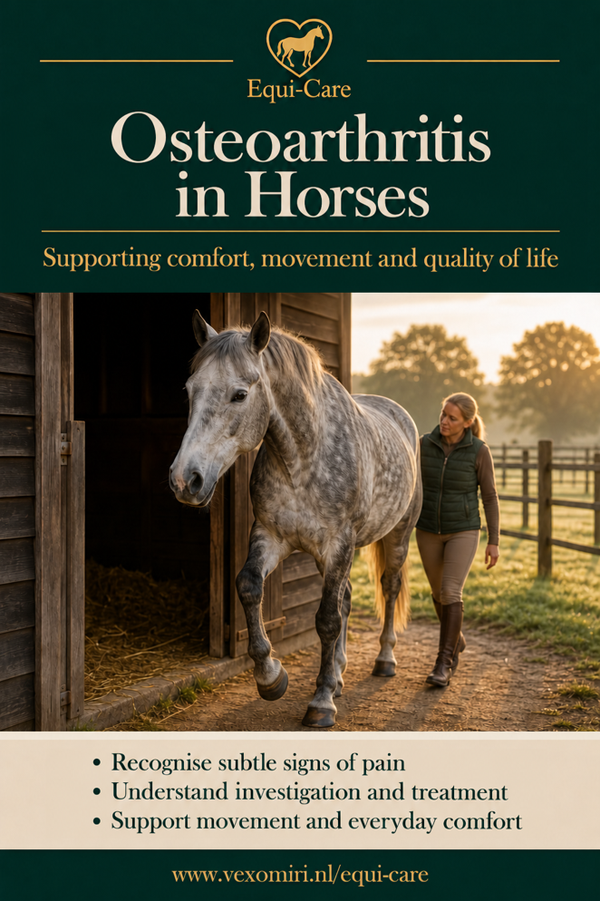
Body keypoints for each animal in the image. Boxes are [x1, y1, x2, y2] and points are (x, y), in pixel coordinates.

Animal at [169, 312, 422, 728]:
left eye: (240, 394)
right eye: (190, 390)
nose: (184, 480)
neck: (303, 459)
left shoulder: (338, 546)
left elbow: (327, 620)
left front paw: (321, 703)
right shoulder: (271, 536)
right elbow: (249, 586)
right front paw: (271, 677)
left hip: (397, 536)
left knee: (388, 588)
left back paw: (384, 660)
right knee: (346, 599)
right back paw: (338, 673)